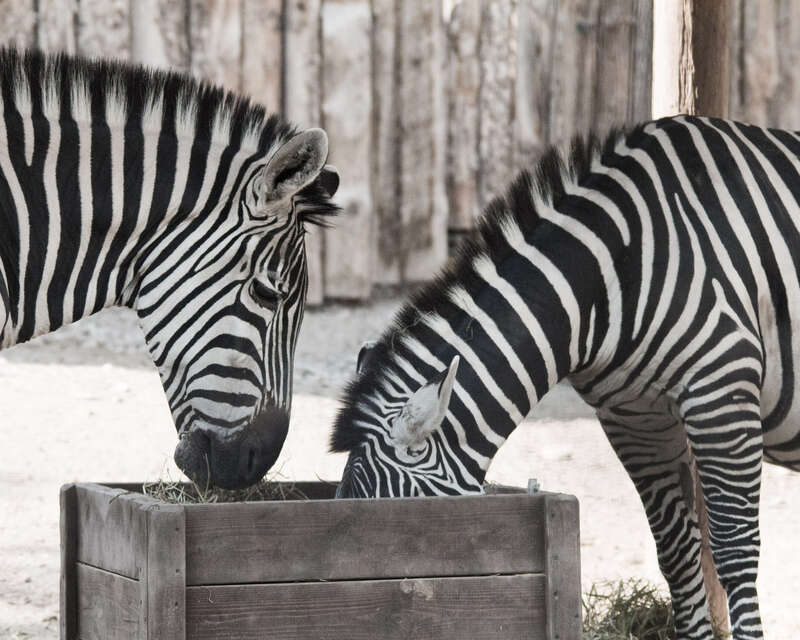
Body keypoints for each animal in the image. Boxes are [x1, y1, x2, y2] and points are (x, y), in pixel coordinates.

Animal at [331, 115, 800, 639]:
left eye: (395, 536)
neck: (612, 272)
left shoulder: (721, 390)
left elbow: (734, 551)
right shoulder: (634, 417)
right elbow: (678, 553)